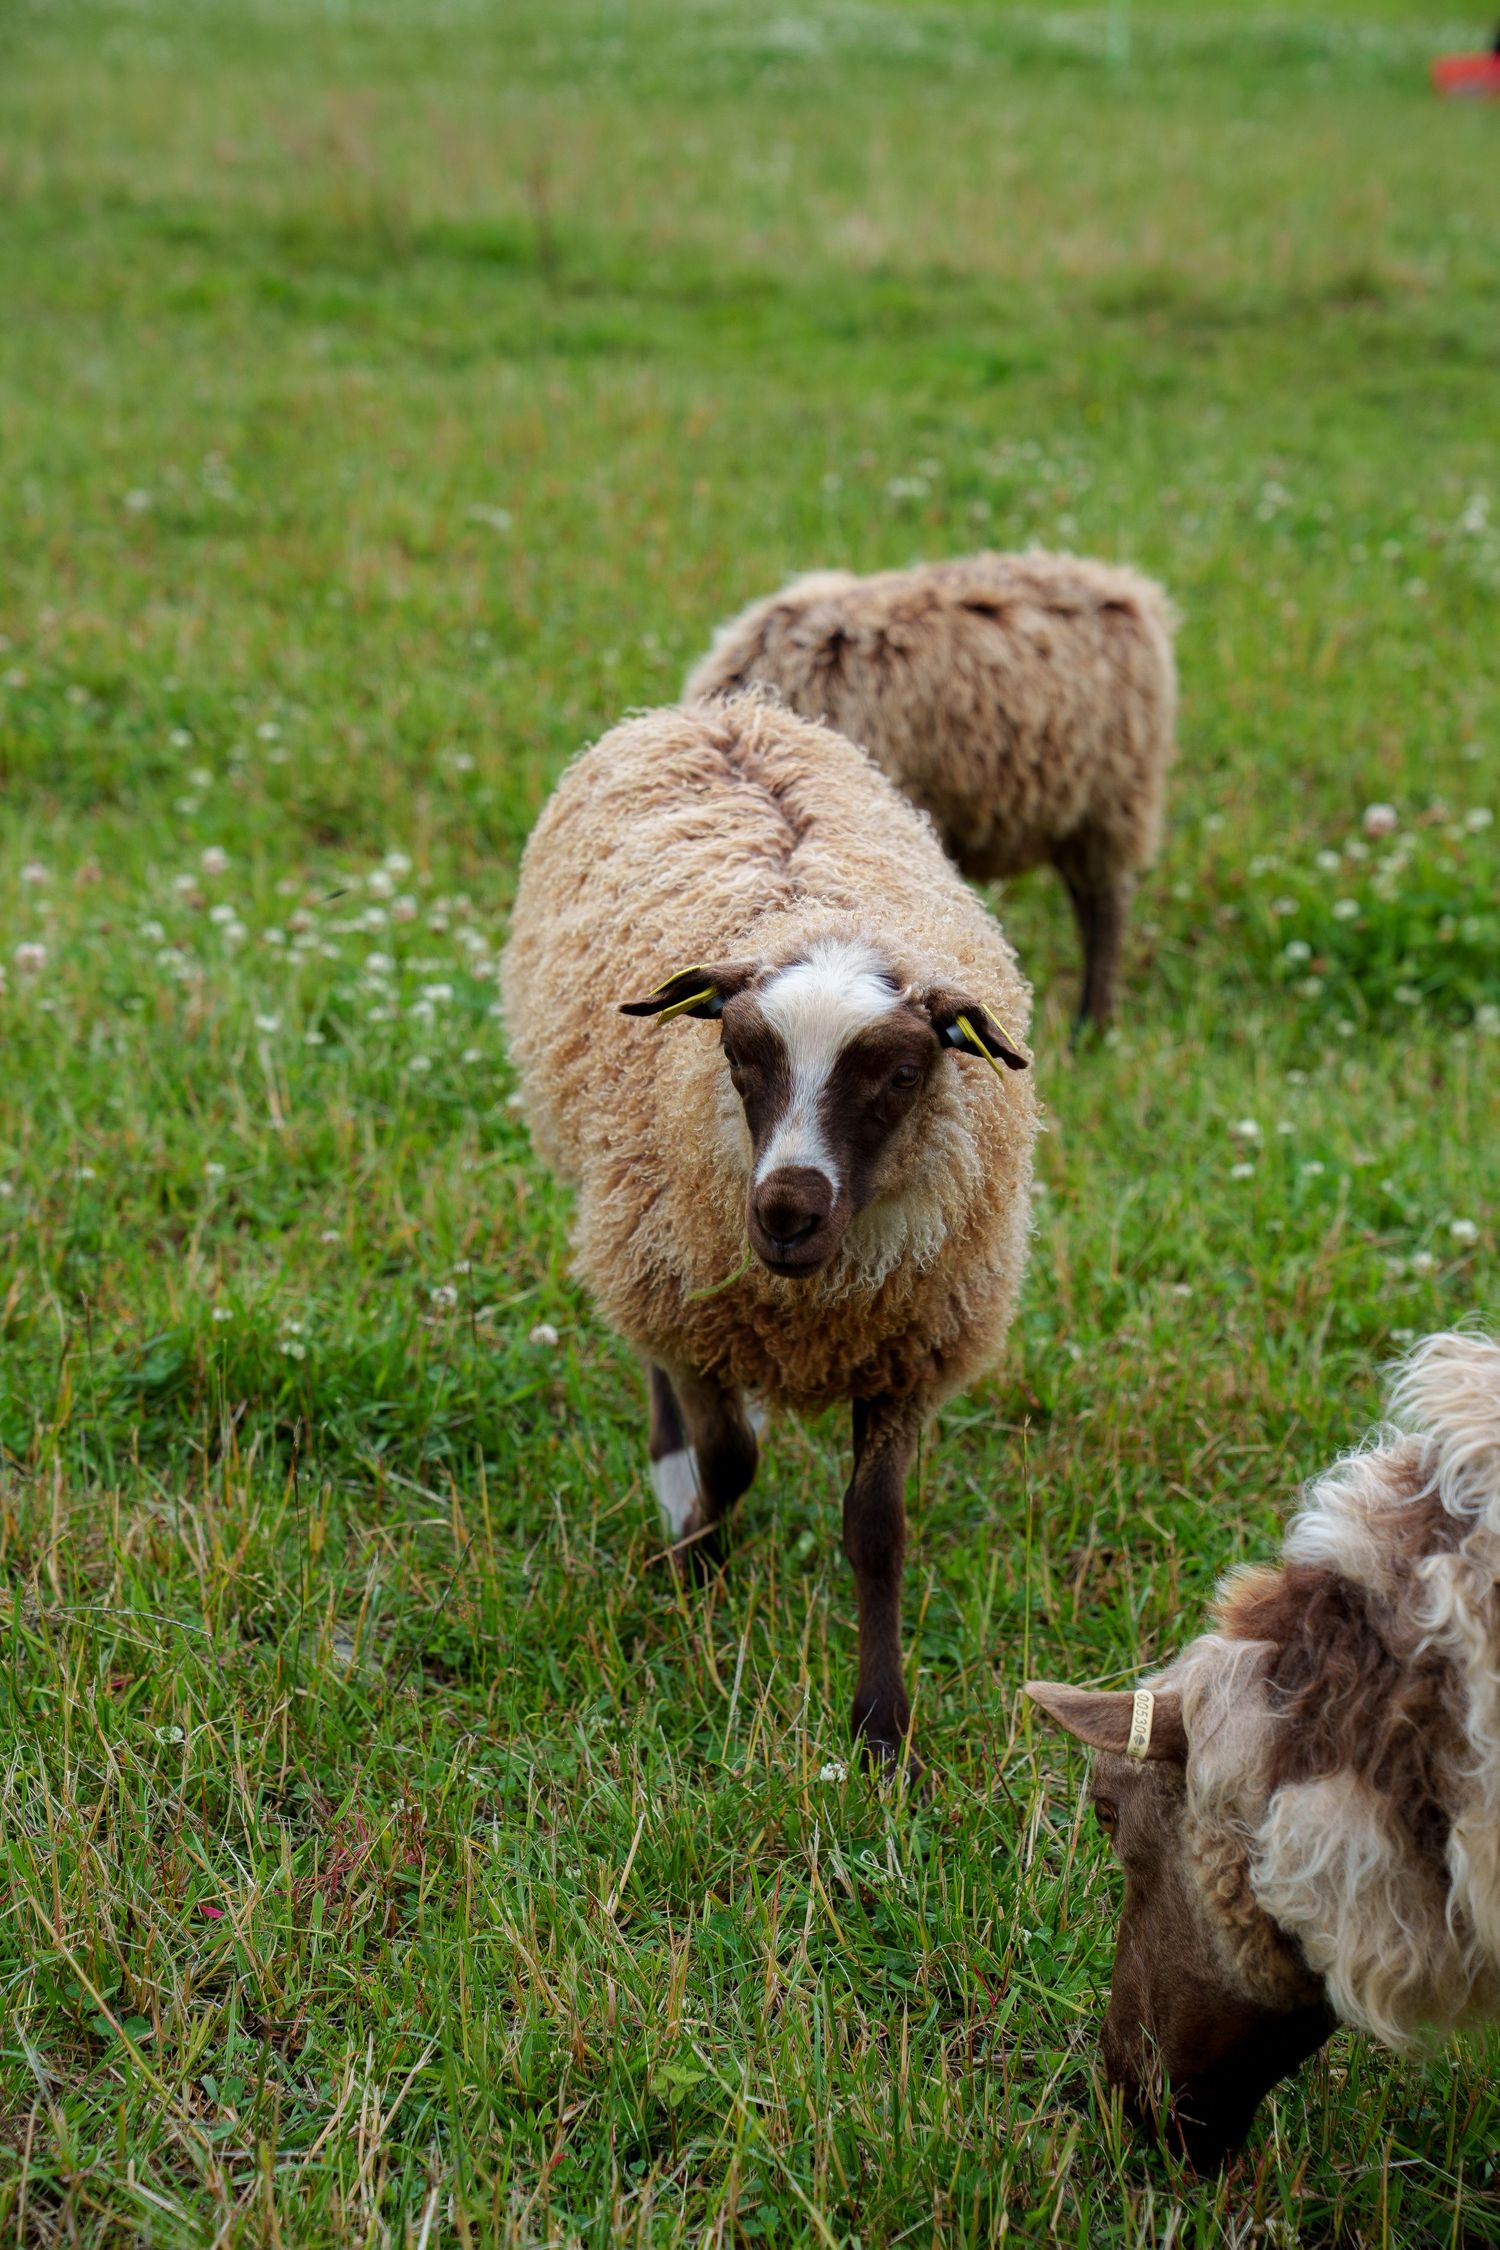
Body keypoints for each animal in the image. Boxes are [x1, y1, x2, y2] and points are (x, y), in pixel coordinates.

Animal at [501, 692, 1038, 1770]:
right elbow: (730, 1461)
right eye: (739, 1056)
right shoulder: (697, 1306)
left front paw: (881, 1729)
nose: (787, 1211)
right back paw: (670, 1482)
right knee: (654, 1361)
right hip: (639, 1231)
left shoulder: (907, 1349)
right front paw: (690, 1563)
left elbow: (877, 1529)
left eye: (902, 1074)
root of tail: (726, 710)